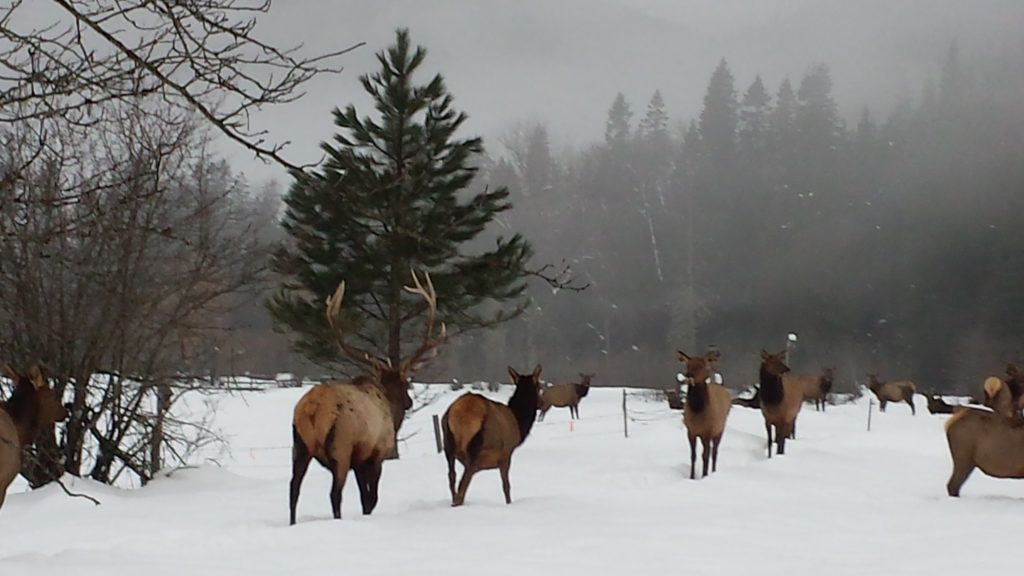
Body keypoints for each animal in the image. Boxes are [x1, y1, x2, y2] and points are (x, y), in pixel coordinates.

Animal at [289, 269, 446, 525]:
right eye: (406, 382)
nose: (409, 402)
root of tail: (311, 409)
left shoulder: (359, 462)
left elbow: (365, 498)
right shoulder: (376, 454)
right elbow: (371, 500)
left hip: (299, 447)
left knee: (294, 490)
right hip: (340, 446)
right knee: (334, 495)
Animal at [442, 364, 542, 507]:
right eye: (539, 386)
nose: (541, 404)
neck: (519, 425)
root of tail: (460, 413)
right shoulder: (506, 454)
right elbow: (506, 486)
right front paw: (509, 503)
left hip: (448, 445)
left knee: (452, 477)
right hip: (475, 449)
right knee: (463, 483)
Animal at [677, 350, 732, 479]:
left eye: (701, 366)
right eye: (688, 365)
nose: (688, 376)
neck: (698, 412)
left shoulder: (708, 431)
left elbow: (705, 456)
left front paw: (704, 475)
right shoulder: (691, 431)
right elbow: (693, 455)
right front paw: (691, 476)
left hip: (720, 429)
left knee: (714, 451)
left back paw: (713, 471)